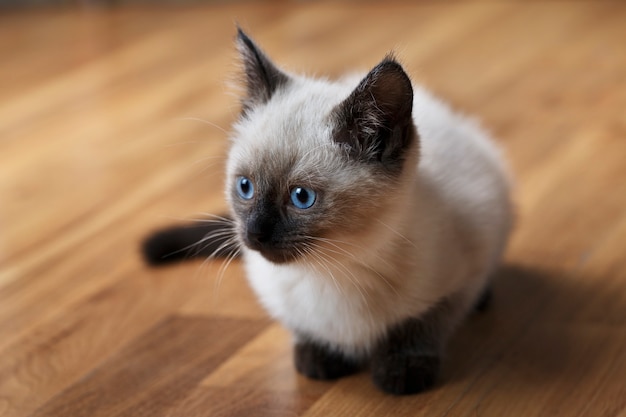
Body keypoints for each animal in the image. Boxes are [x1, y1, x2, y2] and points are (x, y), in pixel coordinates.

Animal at [143, 28, 512, 394]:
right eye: (245, 187)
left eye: (301, 197)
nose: (254, 233)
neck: (330, 270)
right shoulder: (276, 295)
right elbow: (304, 326)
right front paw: (319, 356)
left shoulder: (461, 273)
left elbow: (421, 324)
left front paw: (402, 371)